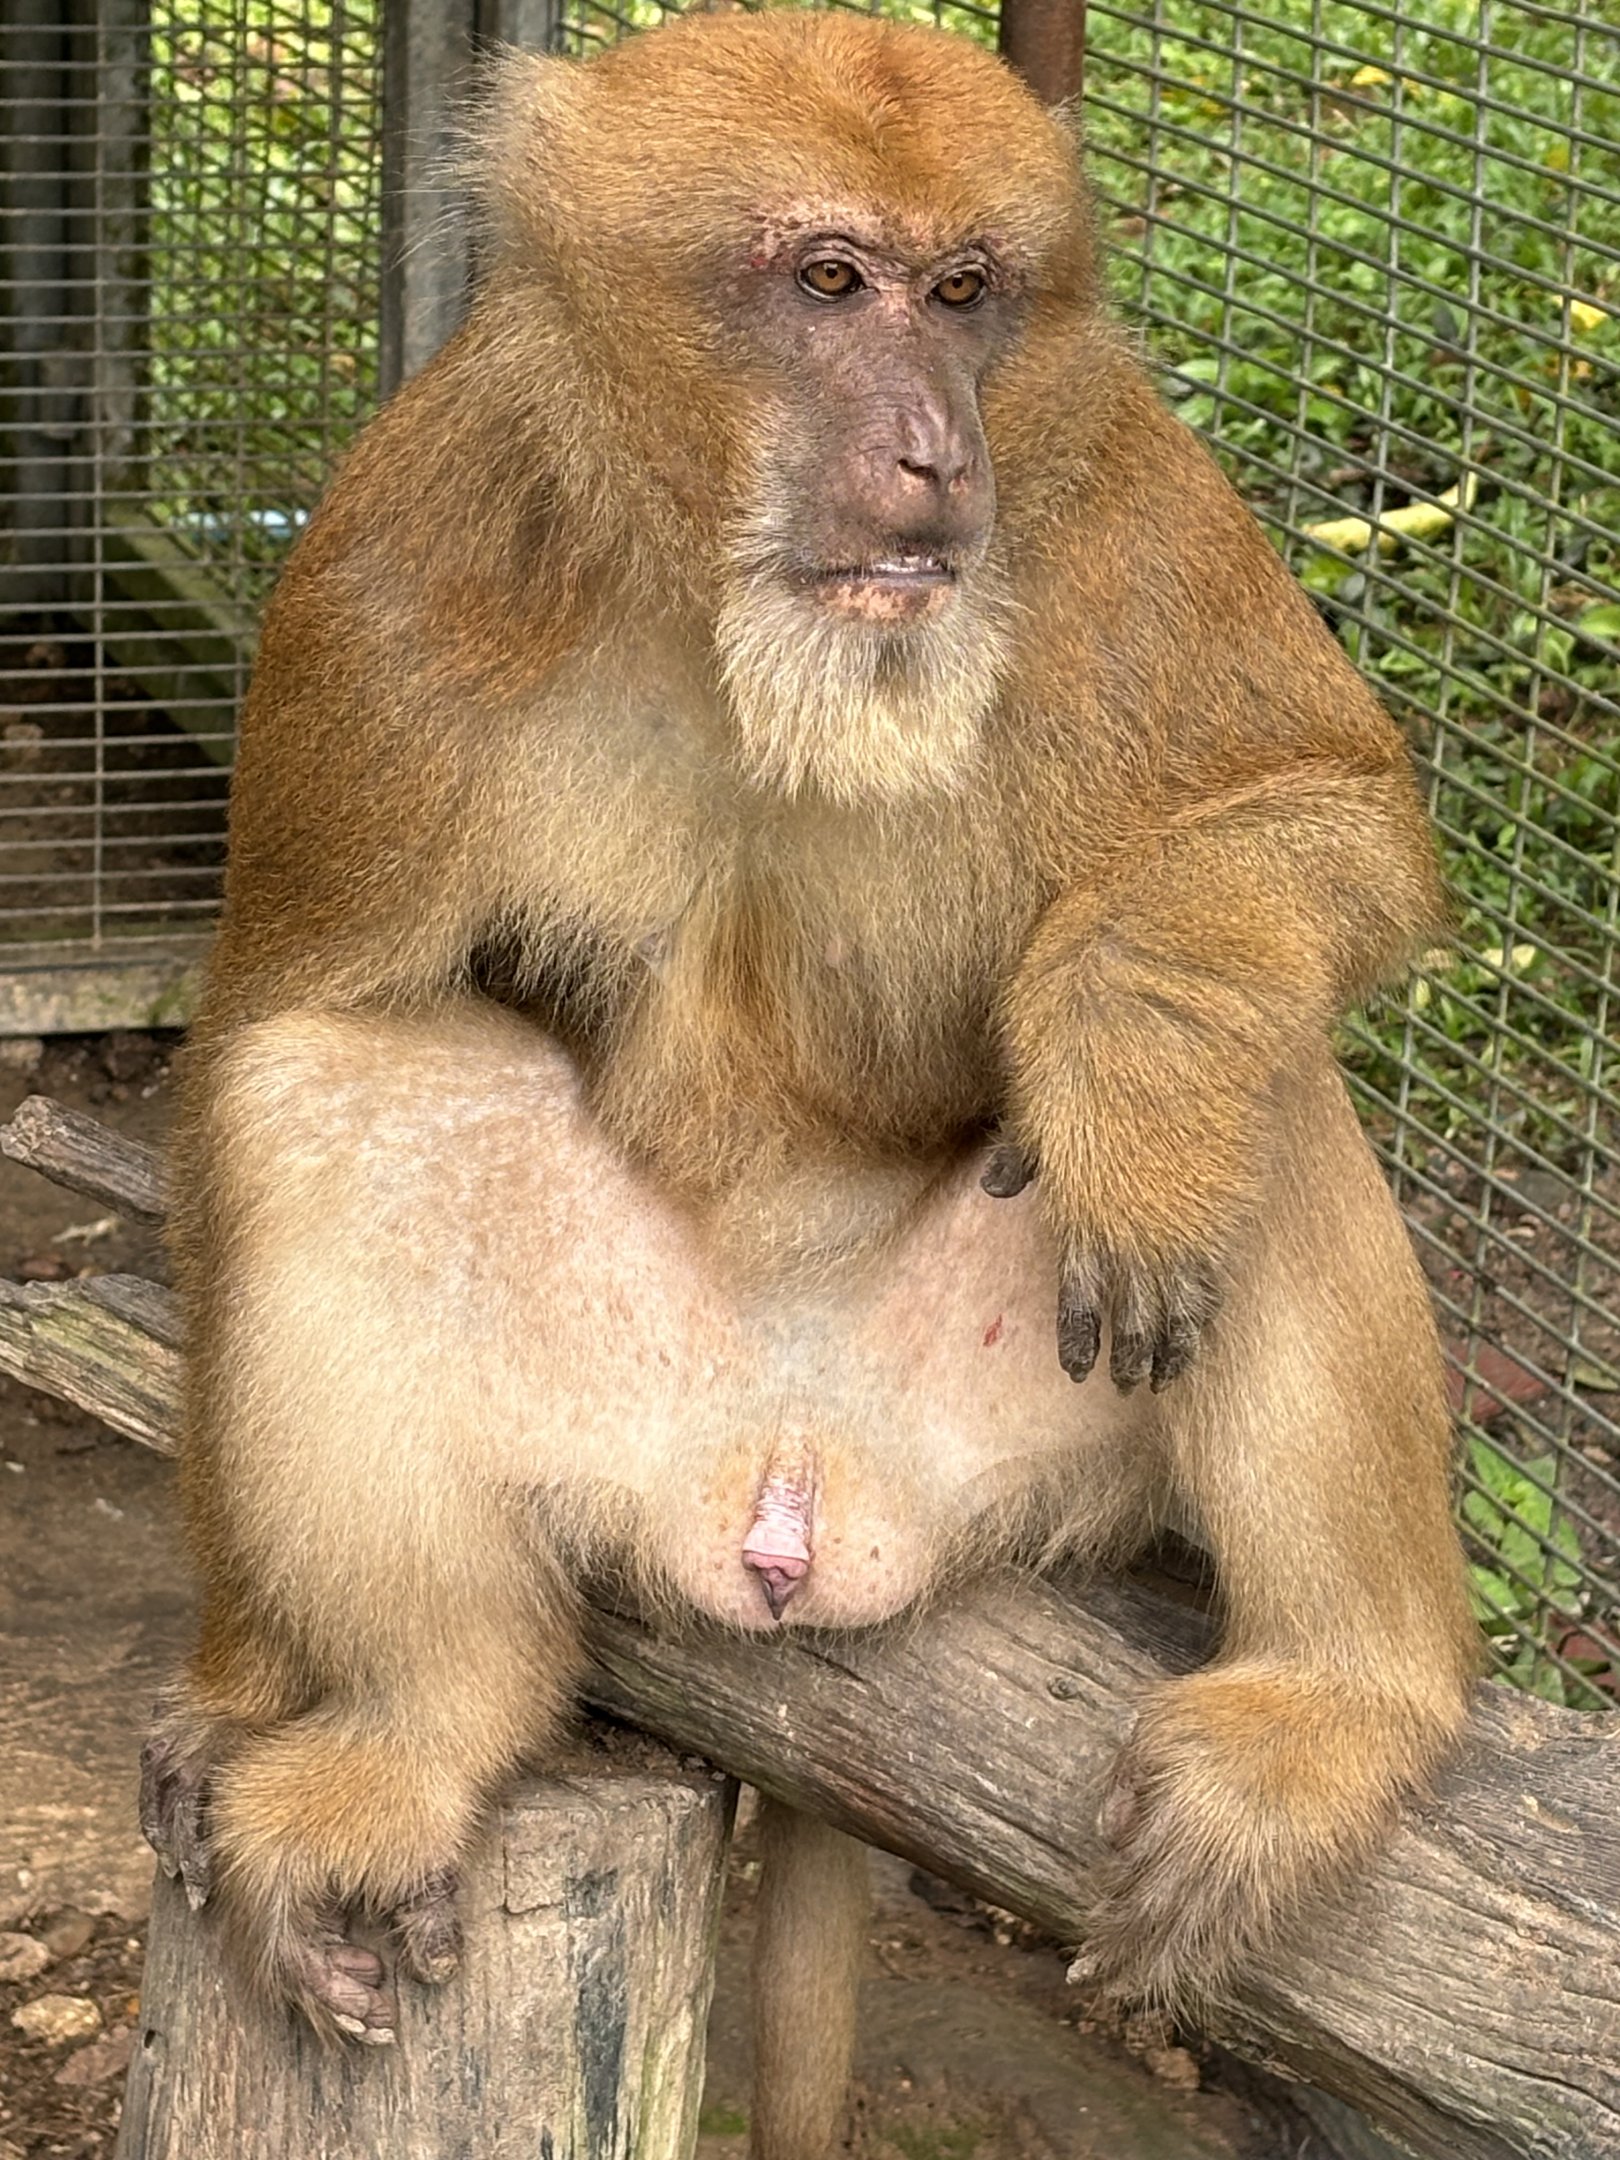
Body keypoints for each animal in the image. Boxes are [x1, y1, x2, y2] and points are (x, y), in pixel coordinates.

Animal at [137, 11, 1476, 2155]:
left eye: (969, 292)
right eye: (830, 282)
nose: (937, 452)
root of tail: (795, 1493)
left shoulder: (1104, 475)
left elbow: (1320, 820)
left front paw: (1126, 1058)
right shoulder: (403, 569)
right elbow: (272, 1026)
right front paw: (236, 1686)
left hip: (1002, 1450)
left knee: (1269, 1073)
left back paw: (1342, 1701)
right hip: (630, 1437)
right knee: (318, 1091)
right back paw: (417, 1736)